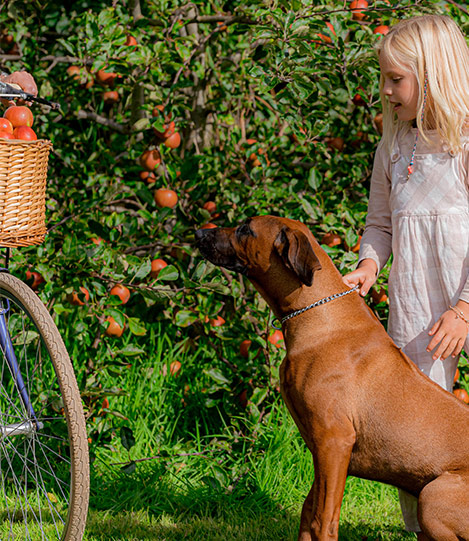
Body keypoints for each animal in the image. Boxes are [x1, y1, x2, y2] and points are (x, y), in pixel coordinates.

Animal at [195, 215, 469, 540]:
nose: (198, 232)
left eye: (245, 229)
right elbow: (307, 512)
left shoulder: (334, 441)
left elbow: (323, 519)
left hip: (433, 495)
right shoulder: (321, 446)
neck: (319, 315)